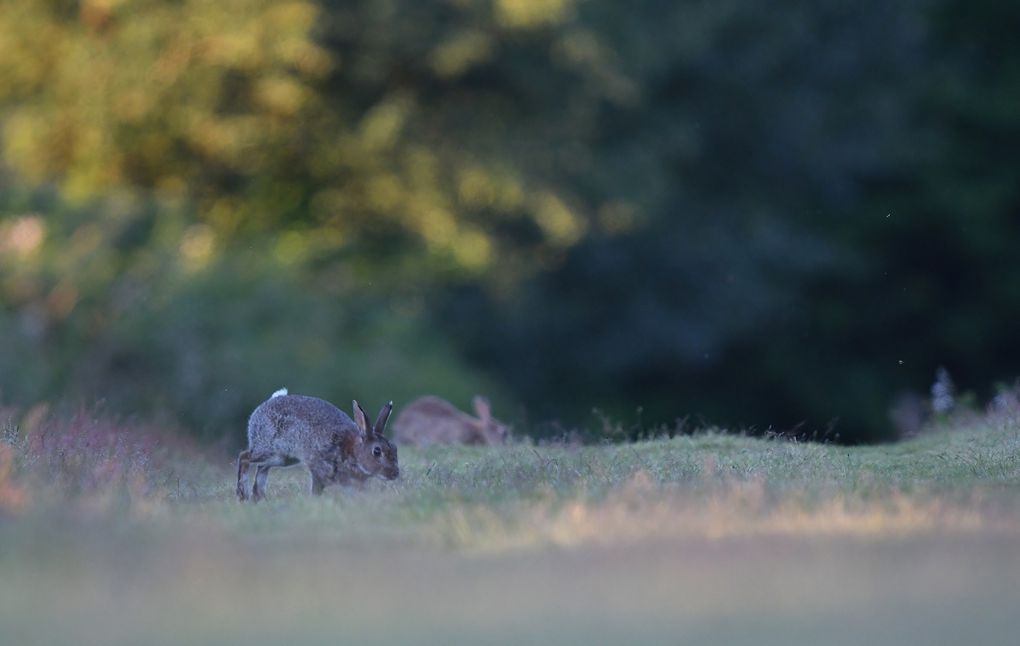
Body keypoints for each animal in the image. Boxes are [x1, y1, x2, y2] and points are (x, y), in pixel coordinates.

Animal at [235, 385, 397, 502]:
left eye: (394, 448)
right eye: (377, 451)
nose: (395, 473)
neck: (353, 453)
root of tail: (265, 405)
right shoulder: (318, 467)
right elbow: (317, 488)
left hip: (283, 458)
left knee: (262, 468)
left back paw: (260, 498)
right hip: (269, 449)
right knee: (244, 457)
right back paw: (243, 495)